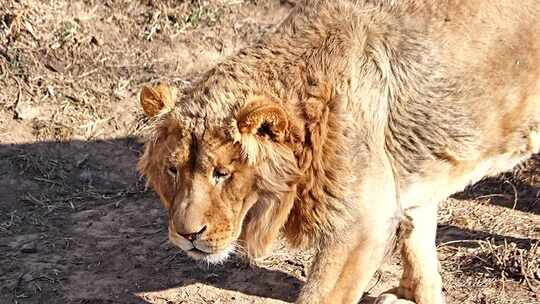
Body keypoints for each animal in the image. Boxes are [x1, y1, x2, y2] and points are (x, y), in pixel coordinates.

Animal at [136, 1, 540, 302]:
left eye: (223, 173)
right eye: (173, 171)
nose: (186, 234)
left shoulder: (361, 224)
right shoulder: (408, 185)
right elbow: (418, 247)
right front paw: (413, 296)